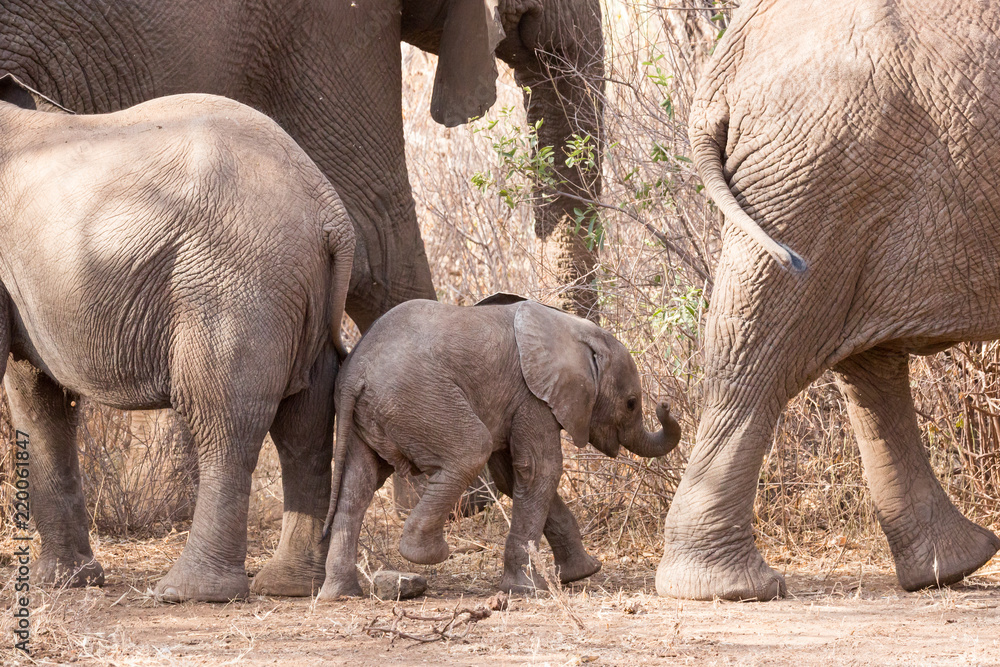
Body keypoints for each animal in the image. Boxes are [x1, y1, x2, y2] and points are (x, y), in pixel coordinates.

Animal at [0, 86, 354, 602]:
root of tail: (331, 215)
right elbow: (37, 395)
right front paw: (65, 583)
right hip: (302, 290)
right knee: (304, 419)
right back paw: (289, 586)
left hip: (234, 282)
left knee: (223, 418)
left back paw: (189, 592)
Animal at [318, 295, 681, 598]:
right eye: (631, 403)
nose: (665, 405)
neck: (572, 330)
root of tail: (353, 375)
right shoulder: (533, 397)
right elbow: (541, 470)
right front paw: (528, 589)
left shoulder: (515, 400)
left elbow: (513, 477)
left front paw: (581, 573)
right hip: (415, 398)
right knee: (470, 450)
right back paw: (428, 554)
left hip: (370, 415)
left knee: (356, 488)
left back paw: (340, 595)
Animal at [655, 0, 1000, 601]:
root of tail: (725, 66)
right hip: (818, 168)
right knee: (766, 346)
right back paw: (730, 588)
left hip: (820, 176)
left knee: (861, 360)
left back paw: (953, 567)